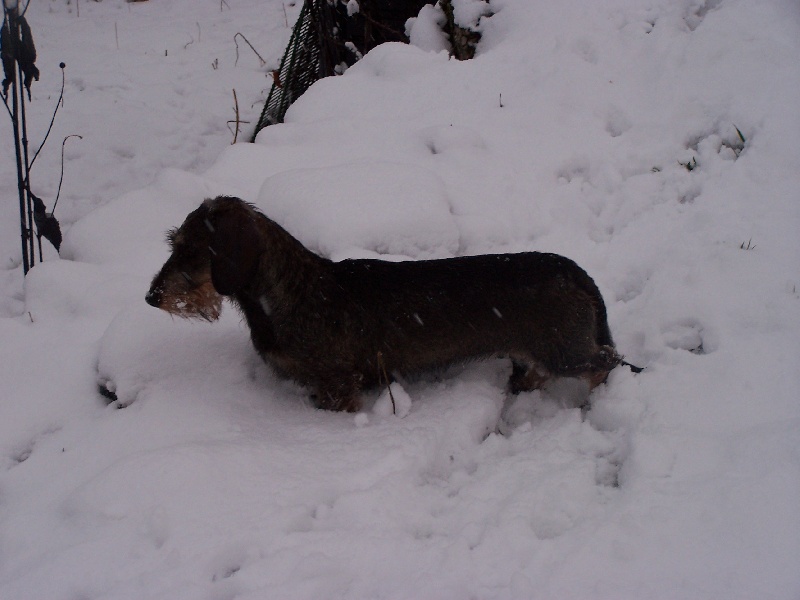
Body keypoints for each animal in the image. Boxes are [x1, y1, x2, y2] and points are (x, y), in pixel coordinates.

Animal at [144, 197, 636, 412]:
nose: (151, 297)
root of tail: (575, 271)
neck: (293, 292)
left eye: (191, 251)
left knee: (605, 362)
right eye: (173, 244)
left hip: (565, 349)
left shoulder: (339, 383)